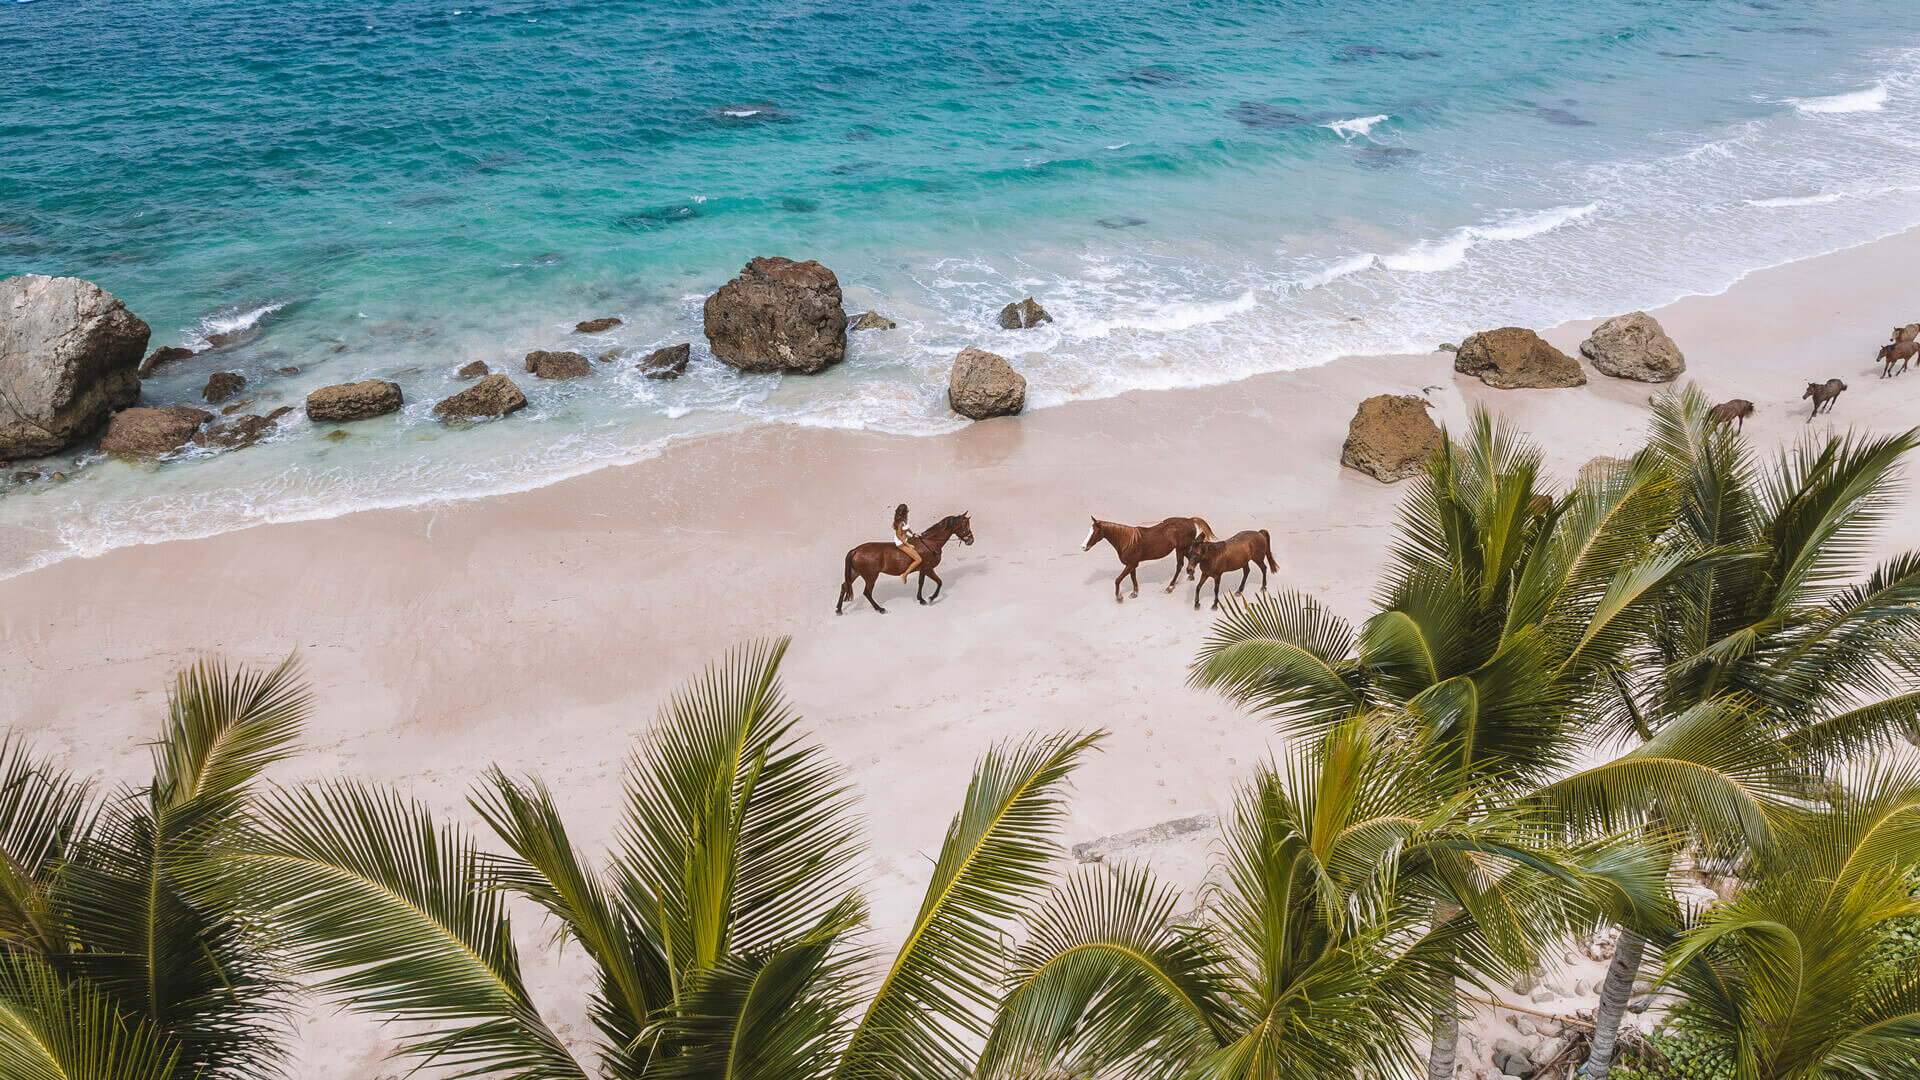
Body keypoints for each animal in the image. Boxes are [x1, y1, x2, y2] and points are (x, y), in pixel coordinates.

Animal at [837, 511, 975, 614]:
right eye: (965, 525)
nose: (971, 540)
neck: (930, 543)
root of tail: (855, 550)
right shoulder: (927, 568)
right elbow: (935, 582)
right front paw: (929, 598)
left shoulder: (924, 569)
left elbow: (925, 582)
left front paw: (923, 598)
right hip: (871, 577)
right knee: (867, 592)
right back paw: (880, 609)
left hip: (855, 573)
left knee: (844, 586)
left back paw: (838, 609)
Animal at [1082, 511, 1213, 595]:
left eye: (1095, 532)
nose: (1083, 547)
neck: (1127, 542)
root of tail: (1190, 520)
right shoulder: (1132, 564)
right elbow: (1133, 577)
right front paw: (1134, 592)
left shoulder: (1131, 564)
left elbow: (1118, 579)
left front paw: (1119, 597)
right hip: (1183, 549)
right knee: (1190, 558)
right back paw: (1191, 575)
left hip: (1180, 550)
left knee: (1179, 565)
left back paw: (1170, 587)